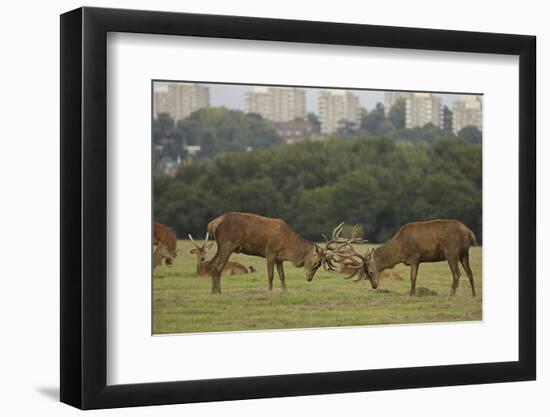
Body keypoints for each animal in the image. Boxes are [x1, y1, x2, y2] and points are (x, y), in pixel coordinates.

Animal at [207, 213, 344, 294]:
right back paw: (218, 292)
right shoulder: (270, 252)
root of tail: (212, 224)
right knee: (218, 266)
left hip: (221, 245)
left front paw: (285, 291)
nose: (309, 278)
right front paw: (270, 291)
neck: (287, 246)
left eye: (320, 264)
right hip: (227, 244)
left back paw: (214, 292)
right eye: (316, 263)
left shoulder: (279, 258)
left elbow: (282, 275)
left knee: (213, 264)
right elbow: (271, 275)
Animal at [334, 218, 480, 296]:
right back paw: (473, 295)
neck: (400, 247)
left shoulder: (415, 256)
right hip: (464, 253)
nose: (374, 286)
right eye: (364, 271)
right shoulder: (417, 260)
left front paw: (412, 294)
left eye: (370, 271)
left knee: (457, 273)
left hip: (451, 252)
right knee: (470, 272)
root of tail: (469, 232)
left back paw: (451, 295)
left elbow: (413, 277)